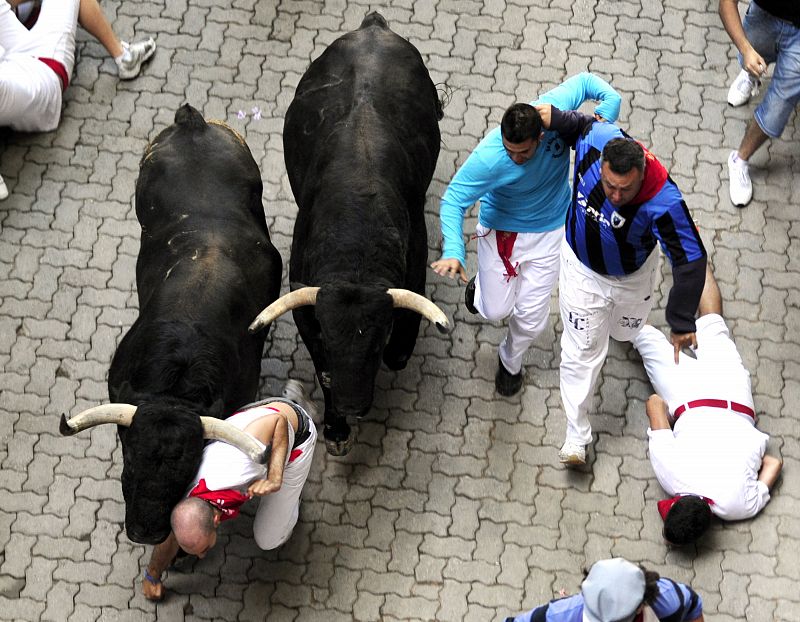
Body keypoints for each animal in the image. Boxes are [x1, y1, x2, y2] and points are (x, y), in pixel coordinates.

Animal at [252, 12, 450, 456]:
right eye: (330, 337)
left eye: (376, 343)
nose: (352, 405)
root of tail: (373, 26)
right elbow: (323, 369)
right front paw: (336, 428)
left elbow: (400, 350)